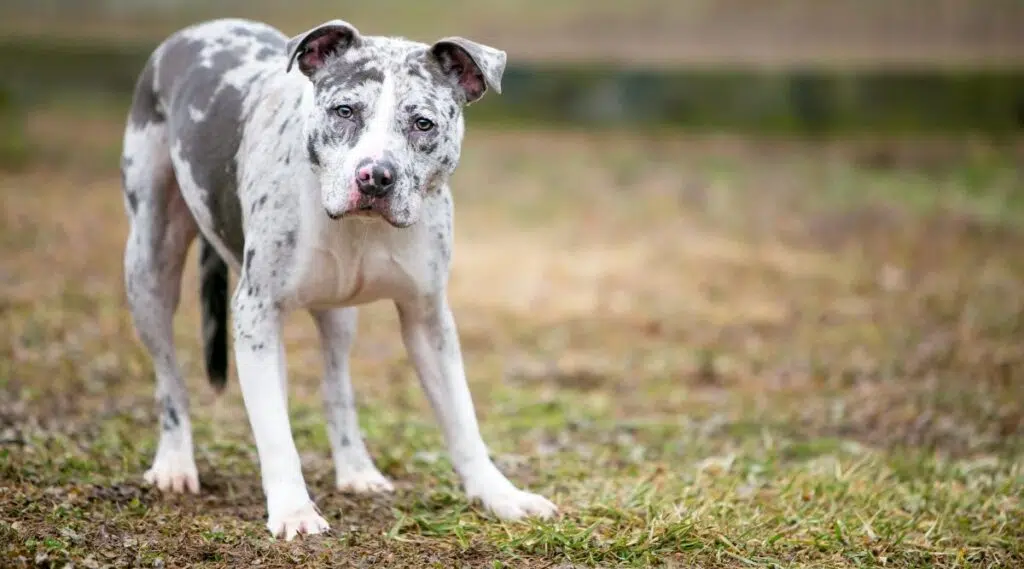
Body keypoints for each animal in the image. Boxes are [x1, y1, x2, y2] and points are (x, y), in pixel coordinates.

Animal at [119, 17, 561, 540]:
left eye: (423, 123)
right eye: (345, 111)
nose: (375, 176)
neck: (360, 228)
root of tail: (202, 27)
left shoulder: (428, 318)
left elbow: (462, 419)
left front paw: (500, 496)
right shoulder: (256, 313)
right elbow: (274, 429)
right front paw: (293, 510)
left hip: (335, 314)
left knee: (336, 388)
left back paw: (356, 470)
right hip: (150, 267)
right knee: (171, 378)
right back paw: (173, 463)